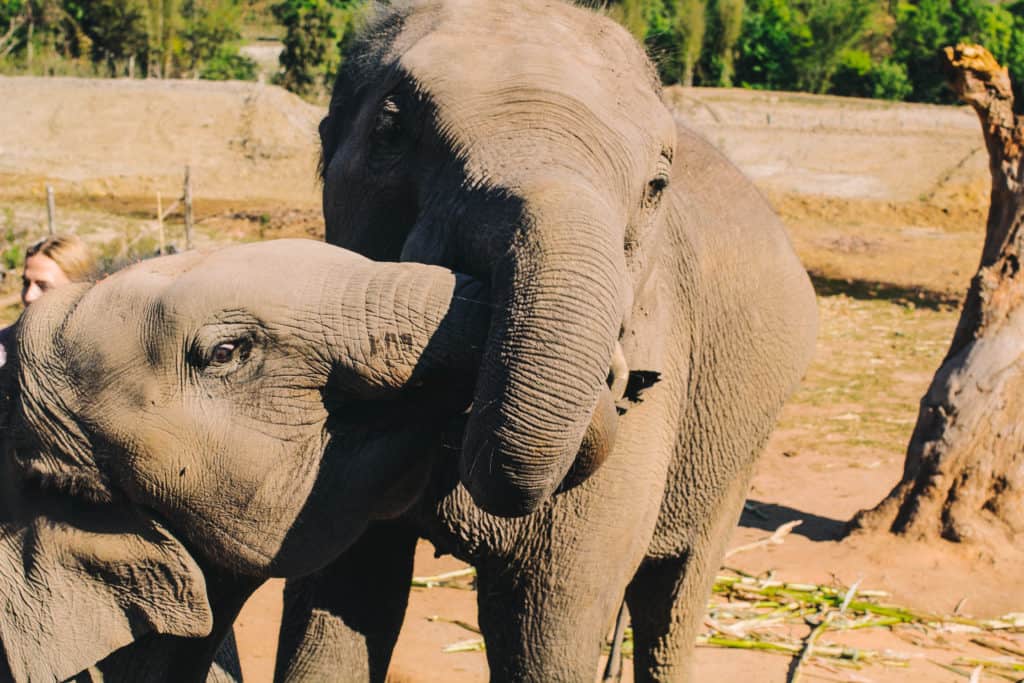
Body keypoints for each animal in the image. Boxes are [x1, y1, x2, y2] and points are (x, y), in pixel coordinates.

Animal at [276, 1, 819, 683]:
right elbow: (338, 598)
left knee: (672, 599)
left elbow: (548, 626)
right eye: (391, 131)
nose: (620, 384)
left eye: (657, 185)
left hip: (738, 449)